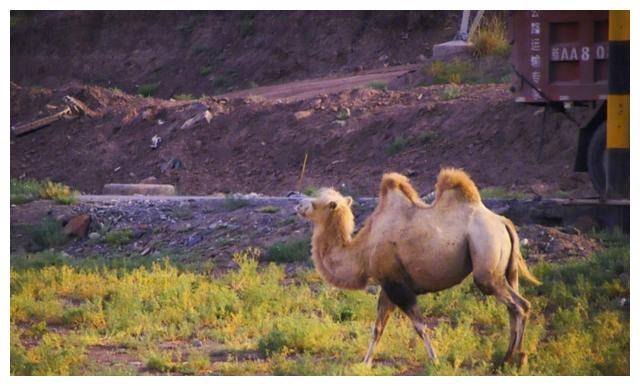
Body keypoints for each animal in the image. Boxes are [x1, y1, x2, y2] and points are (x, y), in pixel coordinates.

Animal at [296, 169, 540, 368]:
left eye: (318, 203)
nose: (298, 205)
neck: (362, 250)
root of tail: (503, 222)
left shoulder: (397, 284)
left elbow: (419, 325)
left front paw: (436, 360)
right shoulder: (387, 284)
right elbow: (378, 328)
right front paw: (365, 363)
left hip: (486, 261)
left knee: (520, 305)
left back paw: (516, 359)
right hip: (506, 269)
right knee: (514, 305)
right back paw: (509, 358)